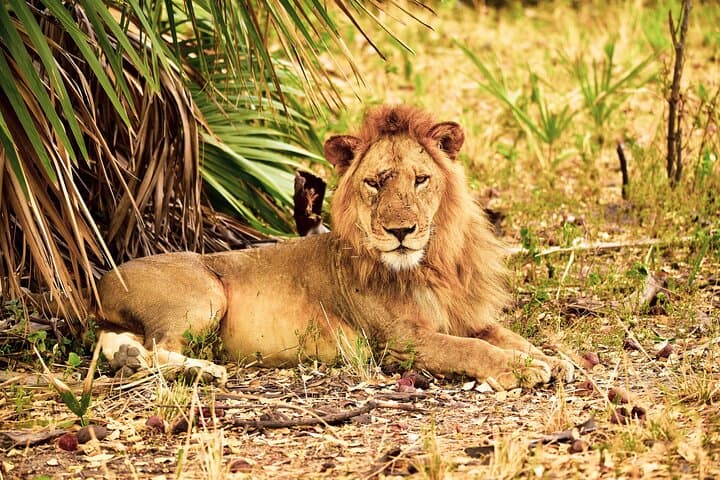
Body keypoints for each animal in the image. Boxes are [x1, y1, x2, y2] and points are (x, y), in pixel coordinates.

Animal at [97, 105, 573, 390]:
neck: (429, 266)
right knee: (160, 348)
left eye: (420, 179)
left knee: (125, 346)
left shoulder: (465, 316)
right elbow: (469, 348)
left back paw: (131, 358)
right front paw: (521, 369)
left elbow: (506, 335)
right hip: (205, 294)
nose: (401, 231)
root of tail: (102, 280)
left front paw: (553, 359)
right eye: (375, 182)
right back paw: (205, 370)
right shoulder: (398, 341)